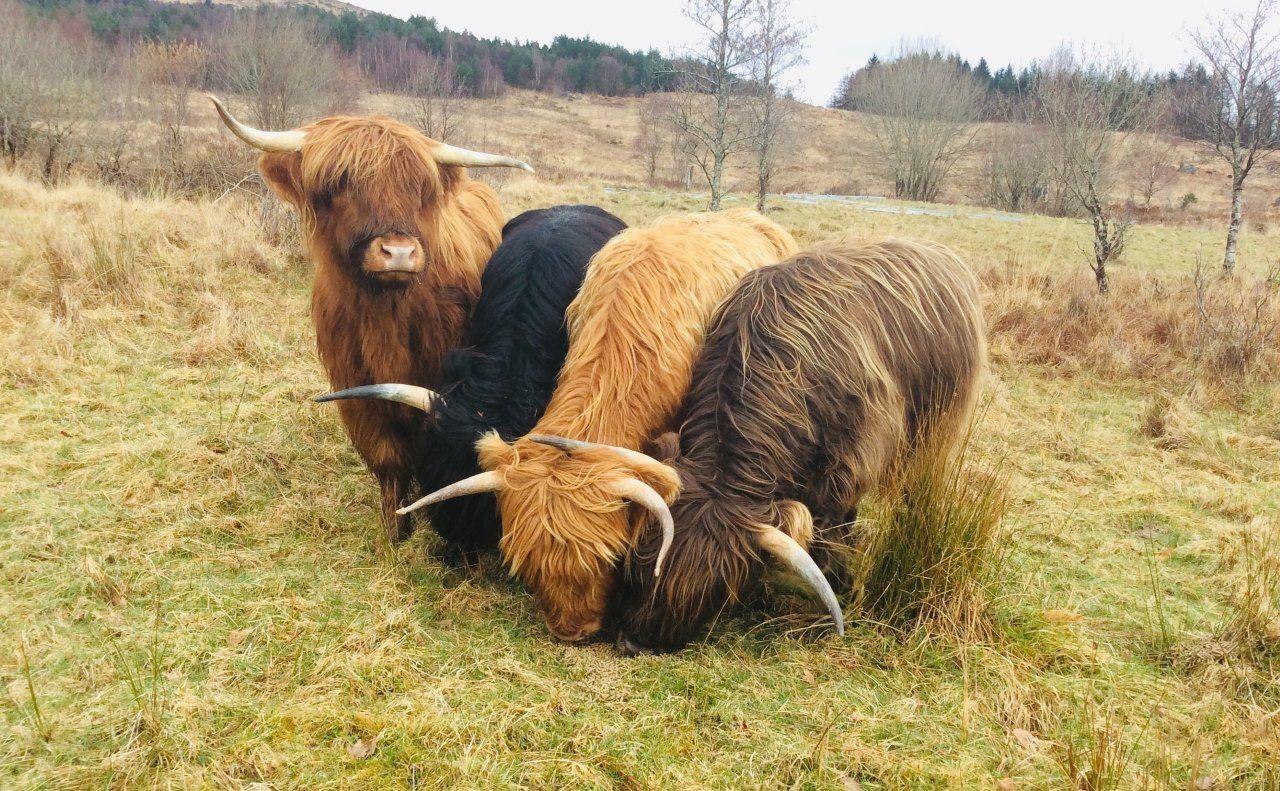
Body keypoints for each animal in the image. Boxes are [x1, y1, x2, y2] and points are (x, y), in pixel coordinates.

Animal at [212, 95, 532, 540]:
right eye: (340, 185)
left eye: (419, 188)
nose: (399, 252)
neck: (386, 318)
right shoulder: (359, 389)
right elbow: (387, 458)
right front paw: (394, 531)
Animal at [563, 236, 988, 650]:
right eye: (638, 562)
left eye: (716, 592)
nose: (634, 643)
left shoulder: (849, 465)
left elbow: (832, 533)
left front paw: (839, 589)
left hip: (939, 426)